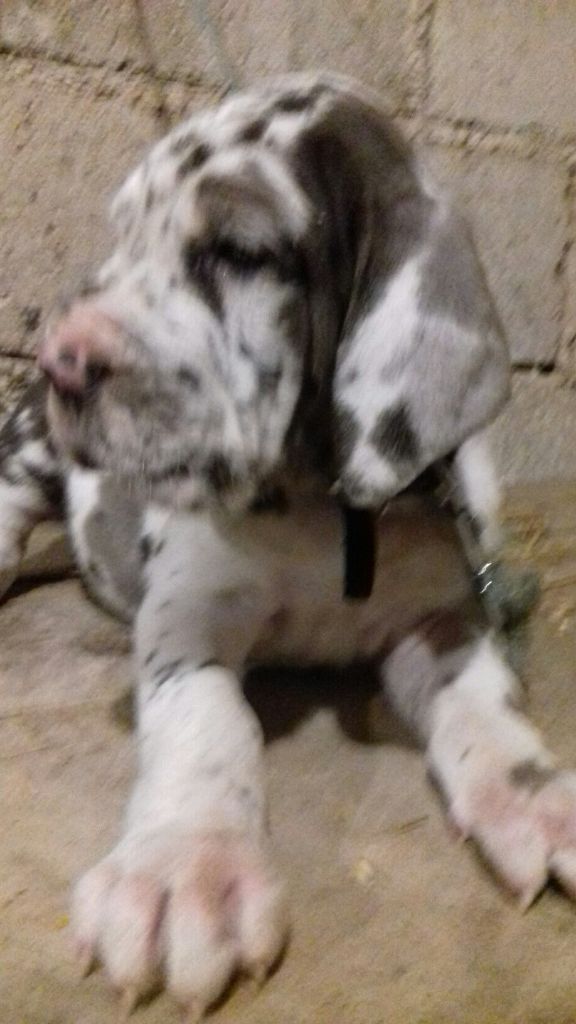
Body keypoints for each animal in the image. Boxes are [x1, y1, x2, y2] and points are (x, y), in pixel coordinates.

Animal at [1, 73, 575, 1019]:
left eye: (237, 252)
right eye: (124, 236)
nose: (59, 359)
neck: (319, 504)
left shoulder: (444, 617)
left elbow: (483, 703)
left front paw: (538, 798)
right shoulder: (186, 615)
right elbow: (208, 720)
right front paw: (185, 869)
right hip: (27, 454)